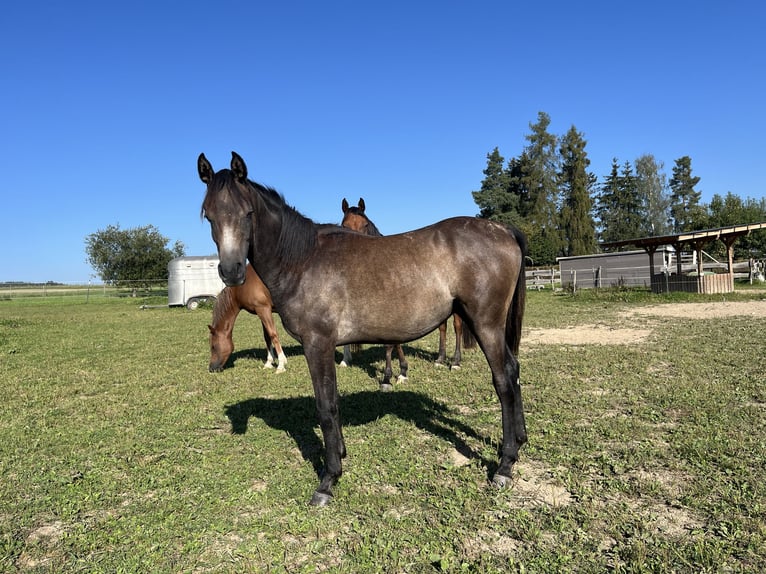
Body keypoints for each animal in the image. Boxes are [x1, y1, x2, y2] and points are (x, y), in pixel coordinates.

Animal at [340, 197, 476, 368]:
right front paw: (345, 360)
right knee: (442, 327)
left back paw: (456, 362)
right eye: (344, 225)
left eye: (365, 225)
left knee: (457, 327)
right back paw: (440, 359)